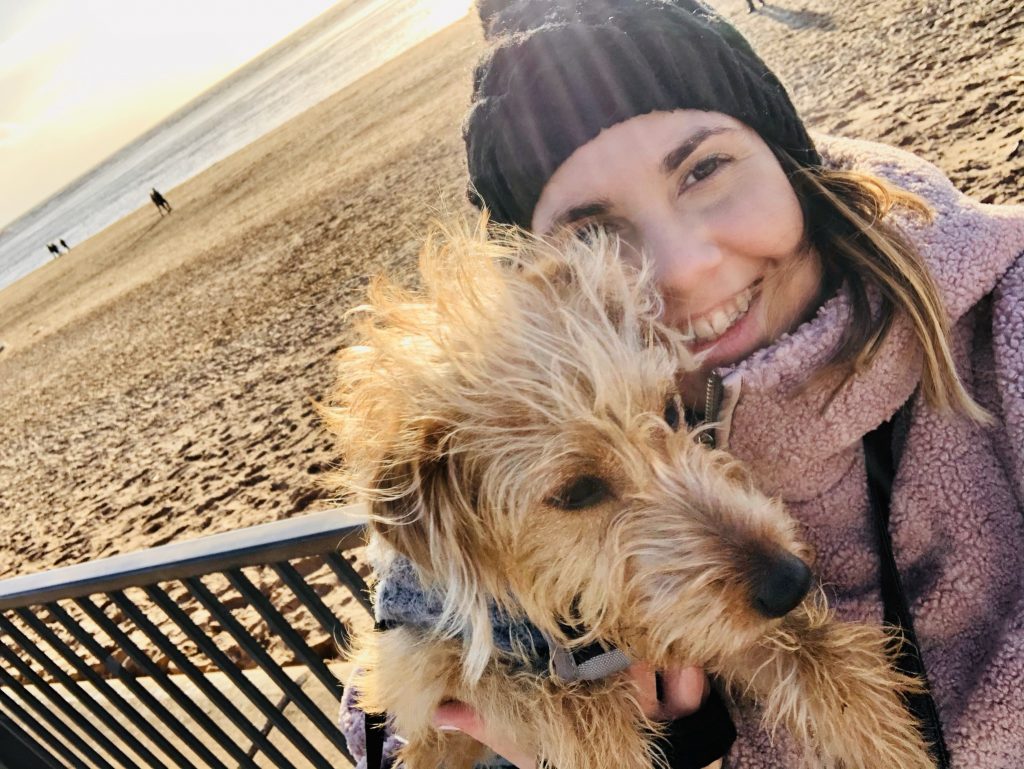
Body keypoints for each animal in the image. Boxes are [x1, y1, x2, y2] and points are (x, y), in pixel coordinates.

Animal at [321, 221, 937, 769]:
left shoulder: (694, 622)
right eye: (577, 492)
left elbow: (826, 664)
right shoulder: (425, 669)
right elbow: (576, 714)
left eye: (669, 409)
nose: (790, 581)